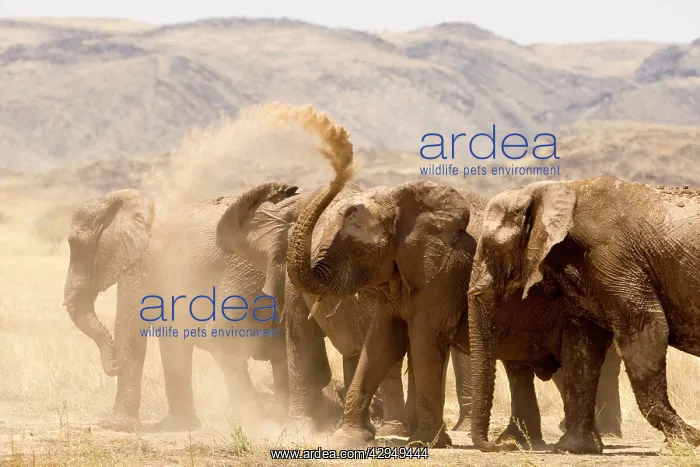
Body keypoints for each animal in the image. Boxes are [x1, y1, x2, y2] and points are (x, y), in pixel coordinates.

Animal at [63, 188, 294, 431]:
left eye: (75, 244)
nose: (114, 365)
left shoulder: (143, 259)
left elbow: (130, 326)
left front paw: (115, 426)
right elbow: (171, 333)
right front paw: (178, 425)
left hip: (247, 271)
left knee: (223, 335)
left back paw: (255, 418)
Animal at [467, 176, 700, 454]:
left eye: (492, 250)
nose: (506, 445)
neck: (551, 190)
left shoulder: (613, 260)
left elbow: (646, 328)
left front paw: (688, 439)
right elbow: (583, 346)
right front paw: (574, 447)